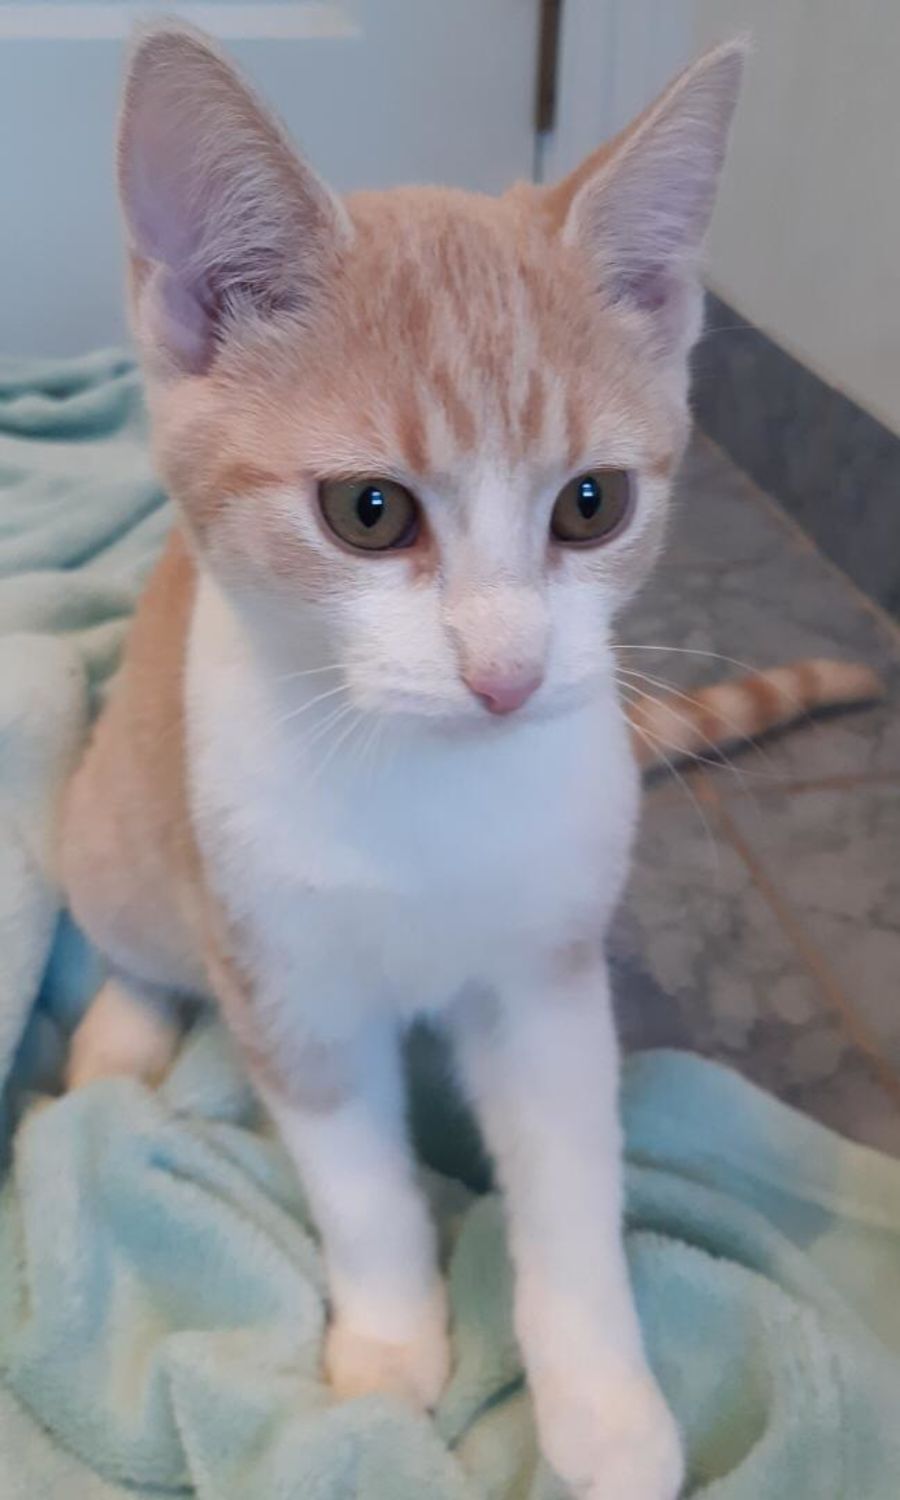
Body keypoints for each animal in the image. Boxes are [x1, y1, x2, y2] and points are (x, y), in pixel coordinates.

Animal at [59, 26, 867, 1498]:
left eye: (592, 504)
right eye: (368, 512)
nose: (509, 673)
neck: (428, 797)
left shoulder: (548, 976)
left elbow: (573, 1185)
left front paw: (602, 1401)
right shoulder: (289, 984)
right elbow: (359, 1185)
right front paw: (390, 1346)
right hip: (130, 822)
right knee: (129, 923)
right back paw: (123, 1027)